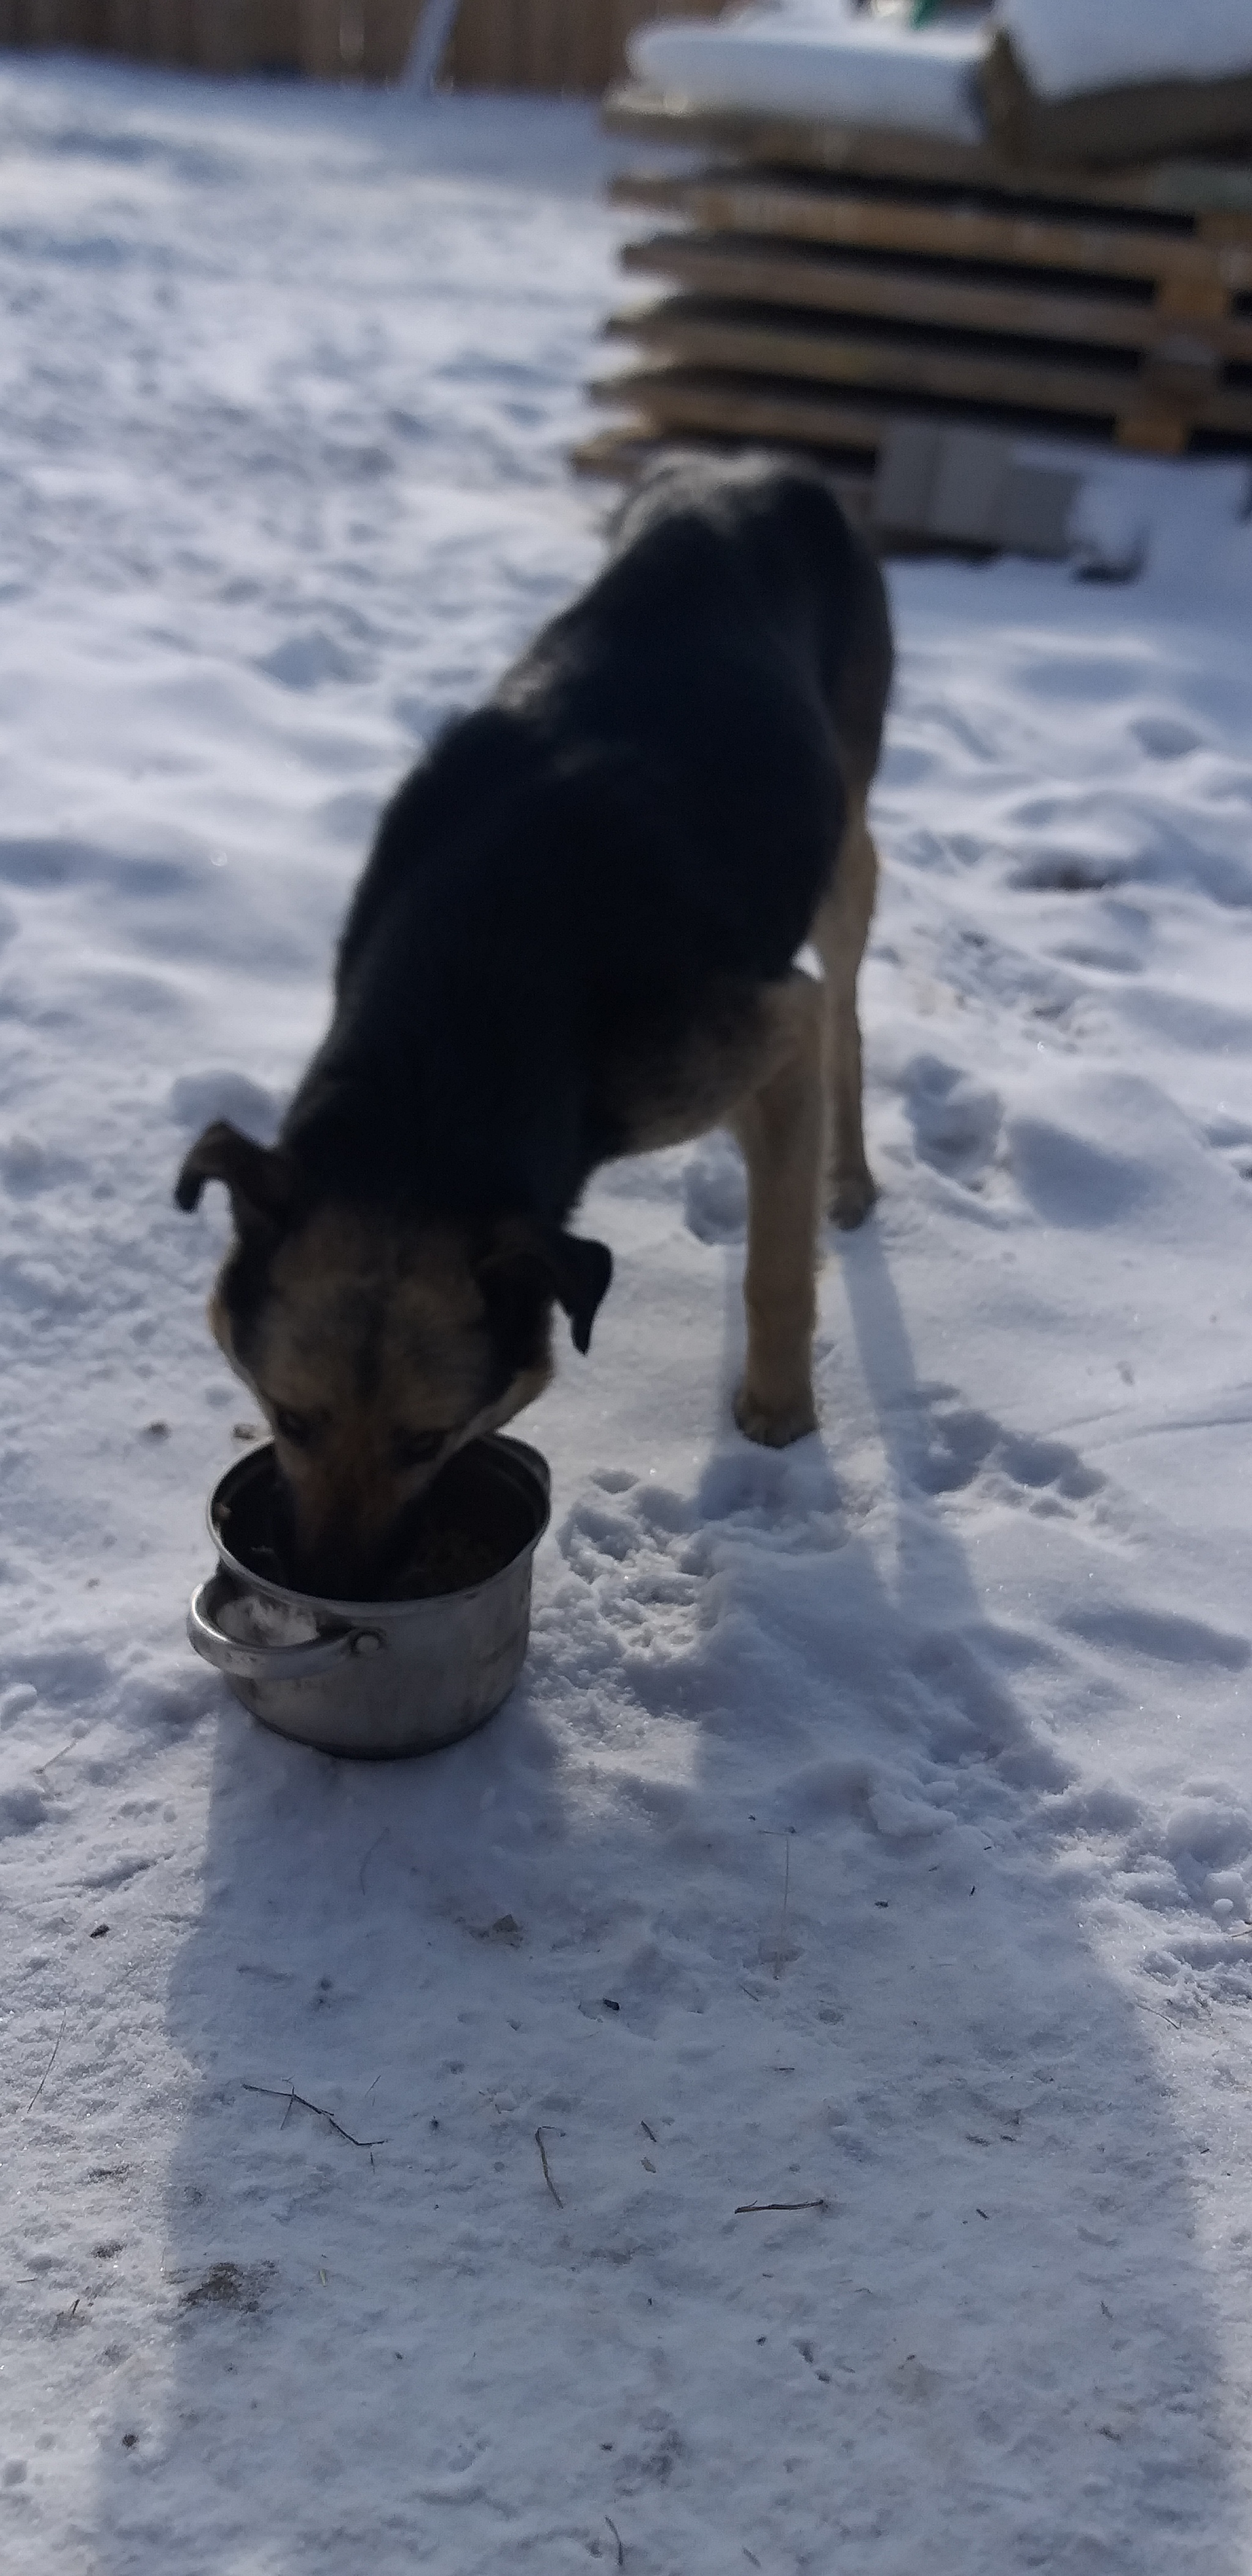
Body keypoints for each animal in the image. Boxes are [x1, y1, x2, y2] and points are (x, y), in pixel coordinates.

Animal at [179, 461, 891, 1587]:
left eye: (426, 1442)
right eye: (286, 1418)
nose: (332, 1594)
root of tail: (757, 467)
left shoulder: (768, 1028)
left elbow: (775, 1264)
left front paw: (778, 1419)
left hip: (844, 834)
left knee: (849, 1007)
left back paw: (847, 1177)